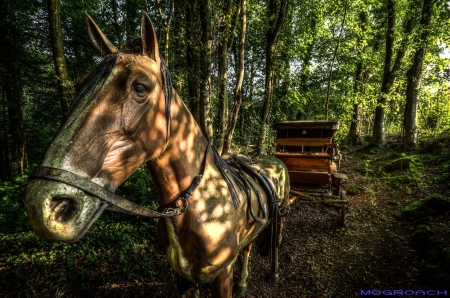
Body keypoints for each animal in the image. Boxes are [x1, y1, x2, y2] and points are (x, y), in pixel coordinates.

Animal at [24, 11, 292, 296]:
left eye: (140, 87)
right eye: (80, 83)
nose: (43, 204)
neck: (201, 205)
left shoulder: (222, 276)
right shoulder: (183, 277)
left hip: (280, 217)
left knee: (275, 242)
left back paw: (274, 274)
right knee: (249, 246)